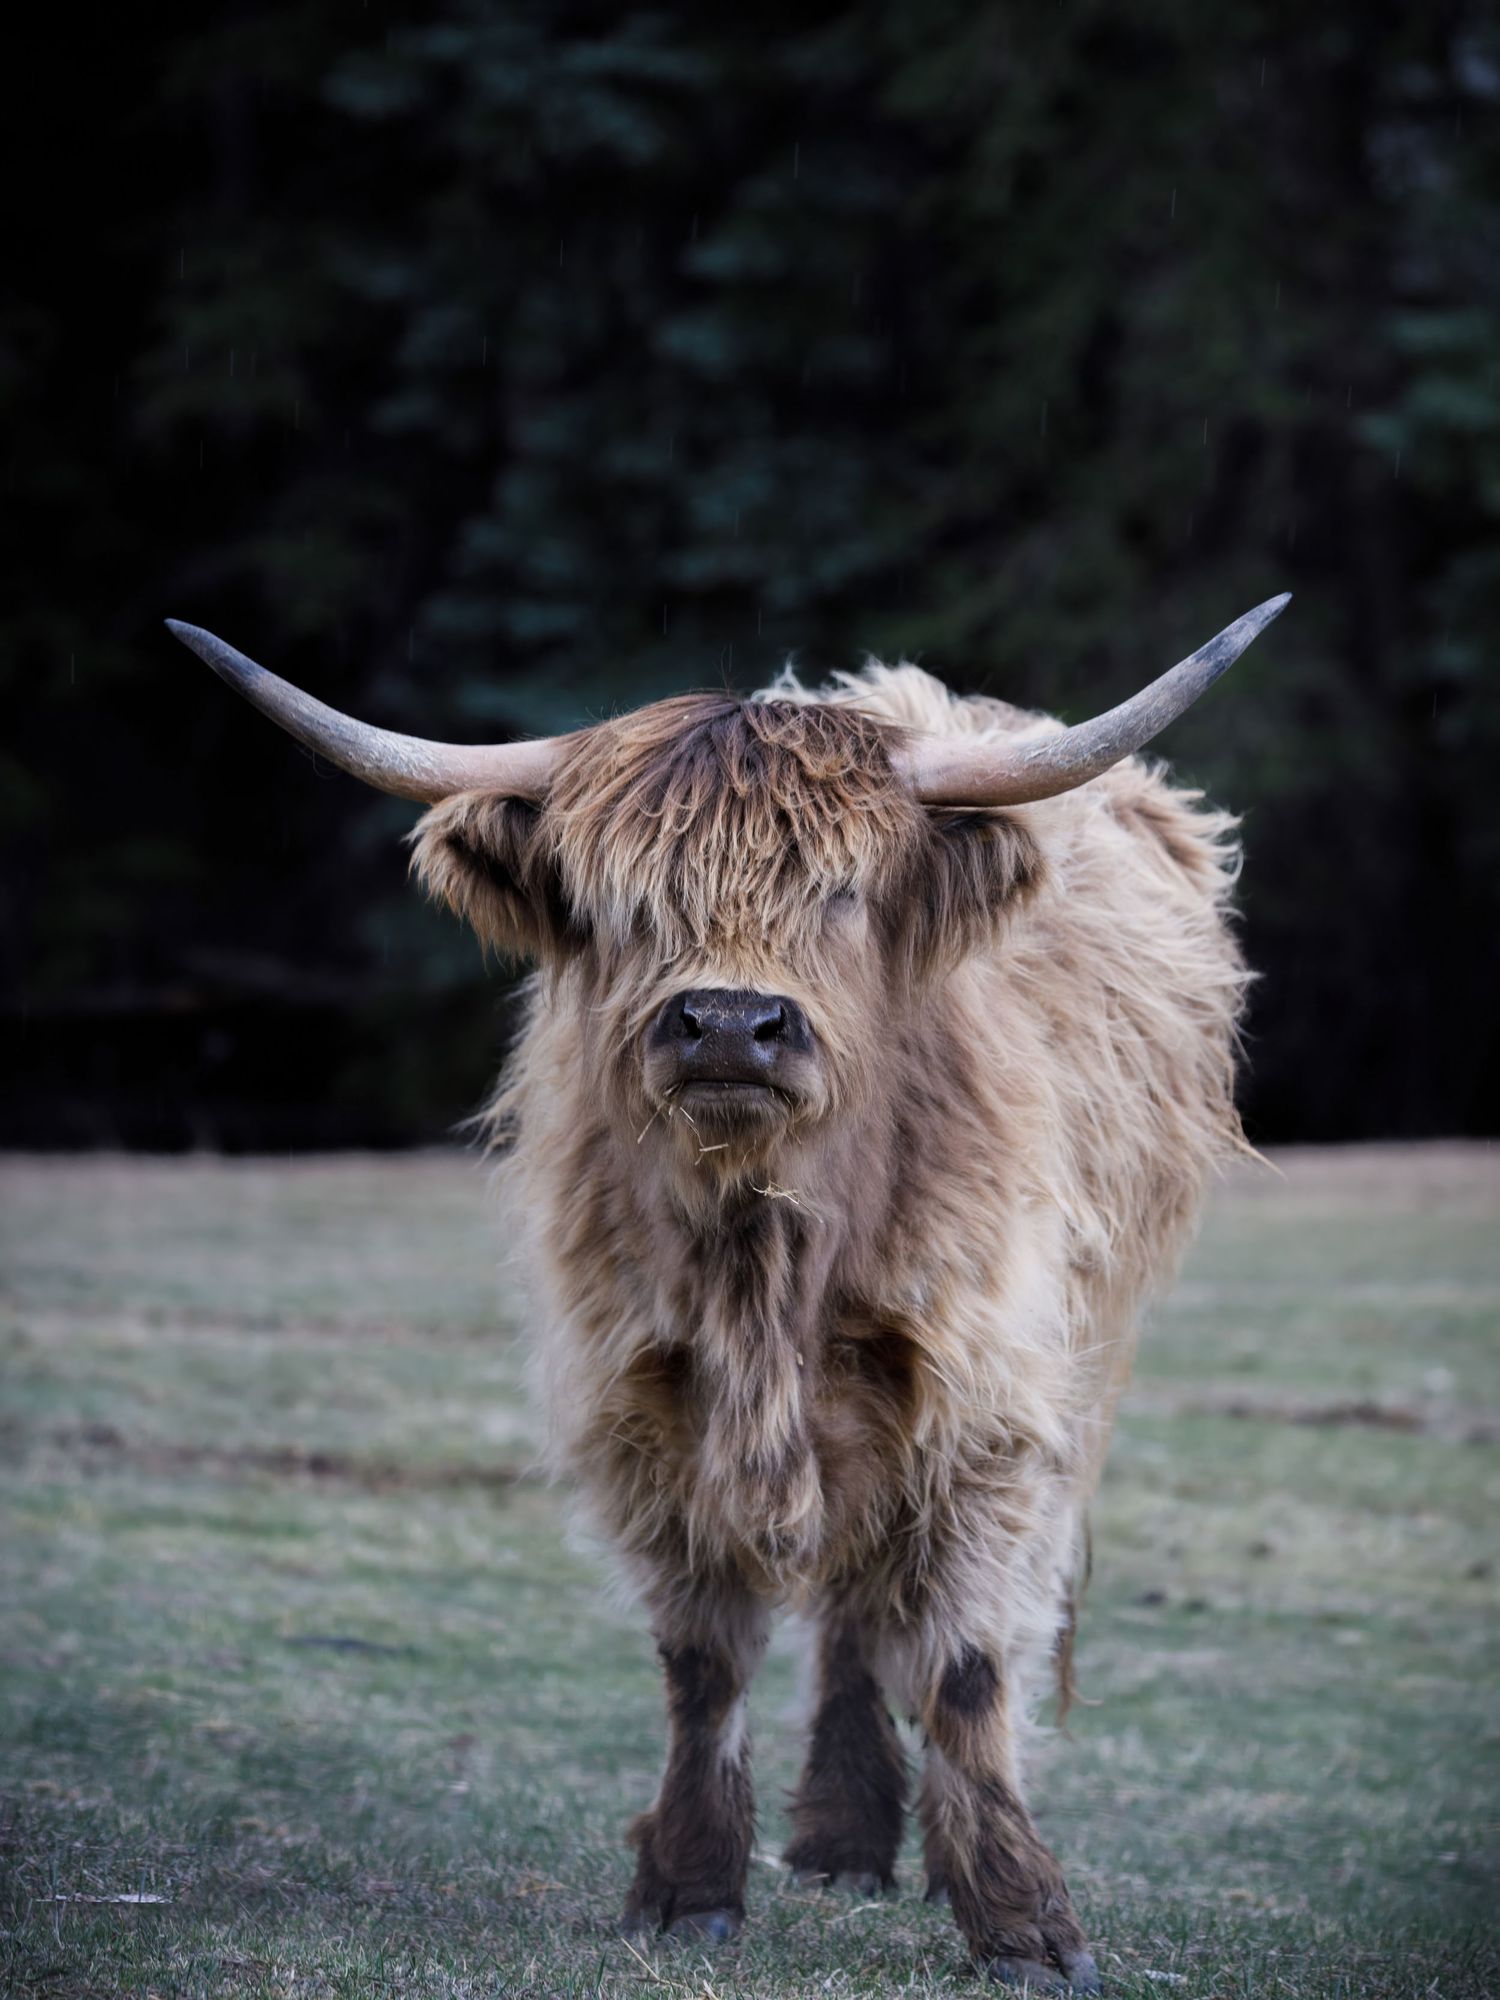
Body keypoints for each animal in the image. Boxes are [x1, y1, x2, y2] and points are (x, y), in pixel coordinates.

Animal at [169, 594, 1288, 1991]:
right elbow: (703, 1657)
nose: (729, 1025)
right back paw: (843, 1843)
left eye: (844, 891)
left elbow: (967, 1660)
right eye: (626, 901)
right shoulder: (643, 1399)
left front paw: (1025, 1923)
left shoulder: (986, 1403)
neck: (769, 1259)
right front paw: (692, 1885)